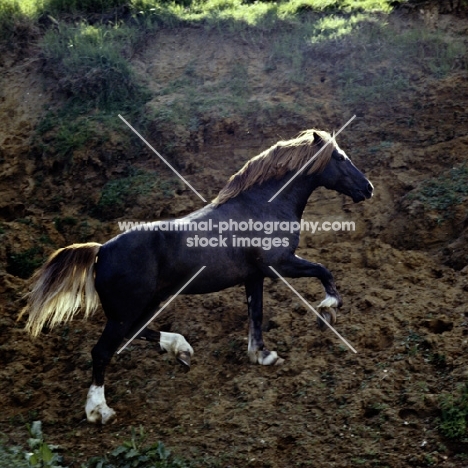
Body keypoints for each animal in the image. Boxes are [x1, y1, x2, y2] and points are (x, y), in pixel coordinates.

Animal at [20, 128, 372, 424]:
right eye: (340, 158)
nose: (367, 188)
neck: (262, 206)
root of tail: (100, 250)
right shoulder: (281, 265)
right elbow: (324, 271)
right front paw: (328, 308)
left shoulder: (255, 277)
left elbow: (256, 314)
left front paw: (262, 355)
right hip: (126, 311)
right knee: (103, 351)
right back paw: (99, 411)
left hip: (145, 303)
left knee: (136, 333)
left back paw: (181, 349)